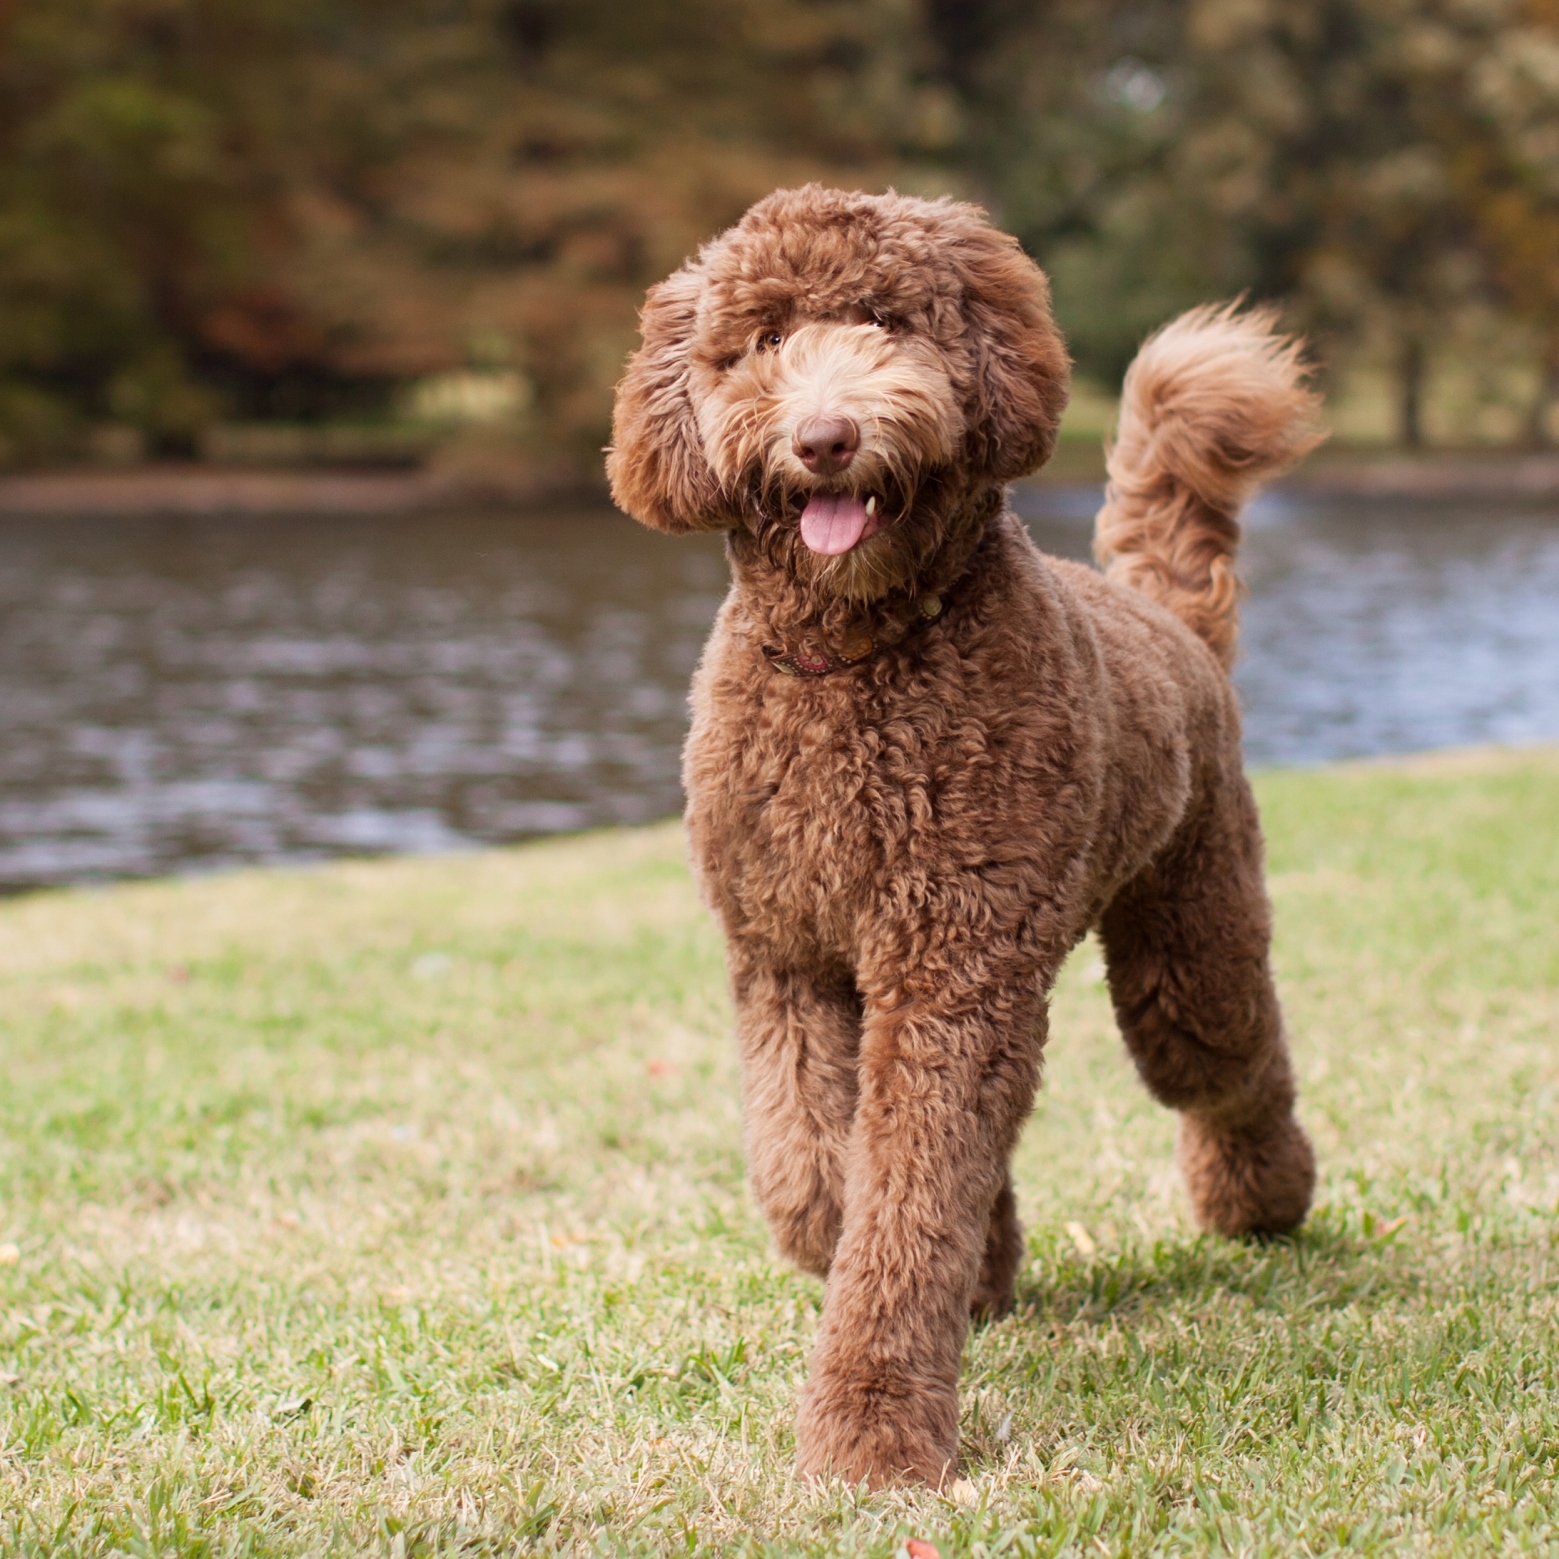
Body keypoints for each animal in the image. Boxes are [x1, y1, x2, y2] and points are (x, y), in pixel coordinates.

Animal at [601, 188, 1322, 1490]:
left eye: (888, 321)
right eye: (760, 340)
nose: (825, 437)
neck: (852, 660)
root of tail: (1162, 615)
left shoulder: (950, 964)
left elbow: (906, 1201)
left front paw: (871, 1427)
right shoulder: (784, 954)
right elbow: (811, 1169)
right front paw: (912, 1253)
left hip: (1186, 940)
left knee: (1226, 1063)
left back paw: (1264, 1200)